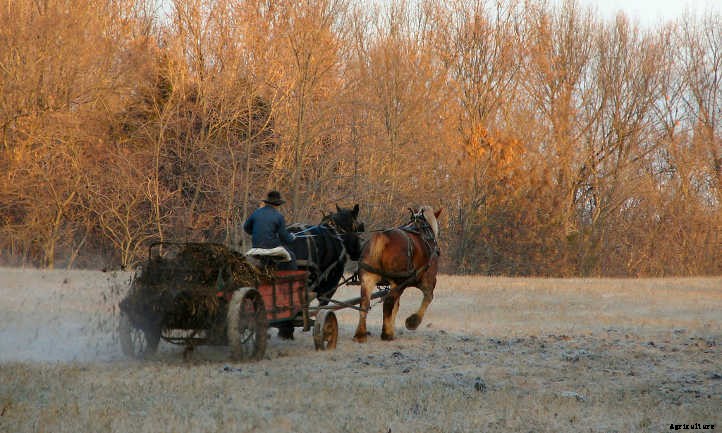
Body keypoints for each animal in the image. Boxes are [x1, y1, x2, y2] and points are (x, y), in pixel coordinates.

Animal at [353, 205, 442, 342]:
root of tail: (383, 236)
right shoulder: (428, 280)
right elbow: (428, 297)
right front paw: (412, 322)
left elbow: (396, 307)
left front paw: (392, 326)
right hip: (398, 282)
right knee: (388, 303)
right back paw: (386, 334)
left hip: (368, 279)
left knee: (364, 303)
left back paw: (360, 334)